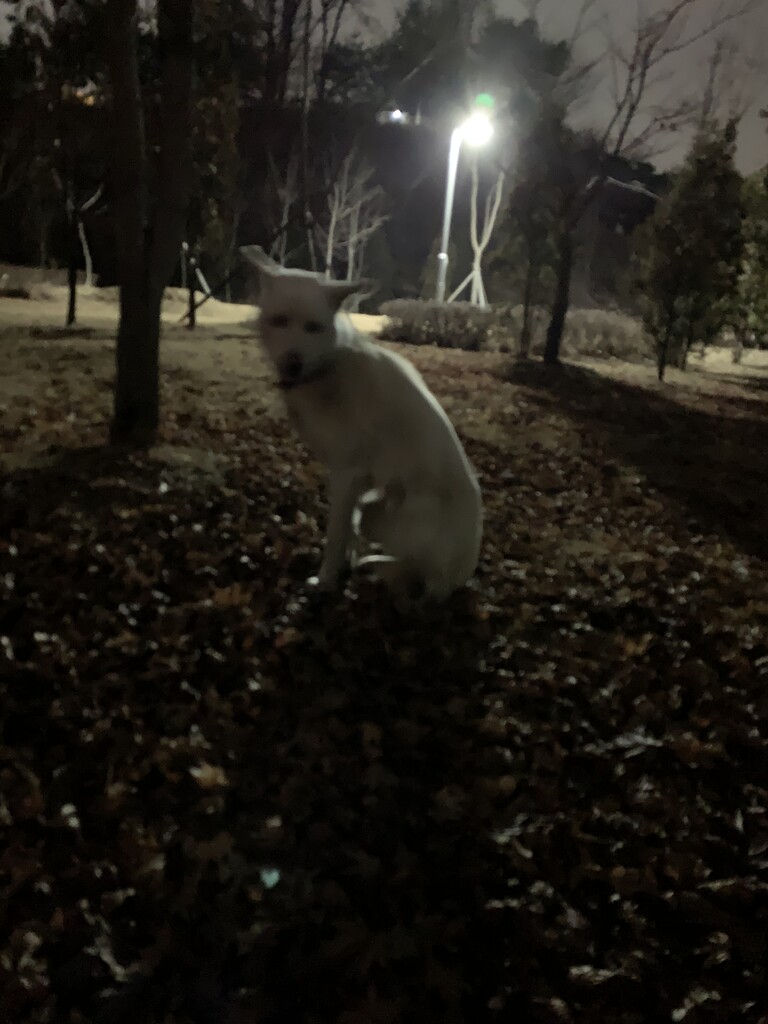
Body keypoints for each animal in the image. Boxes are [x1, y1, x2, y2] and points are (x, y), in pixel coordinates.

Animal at [241, 245, 482, 601]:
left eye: (314, 327)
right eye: (279, 321)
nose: (292, 364)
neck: (330, 365)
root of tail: (458, 579)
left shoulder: (346, 474)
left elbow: (337, 534)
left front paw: (326, 581)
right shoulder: (358, 484)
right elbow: (348, 533)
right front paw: (346, 565)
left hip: (391, 516)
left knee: (412, 573)